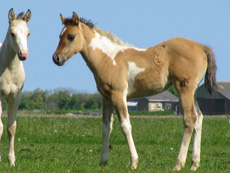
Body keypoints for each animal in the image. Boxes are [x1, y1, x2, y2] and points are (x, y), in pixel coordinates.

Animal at [52, 11, 216, 170]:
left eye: (71, 36)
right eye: (59, 36)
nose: (56, 58)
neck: (107, 58)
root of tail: (201, 47)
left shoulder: (118, 95)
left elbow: (125, 125)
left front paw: (133, 162)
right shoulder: (106, 97)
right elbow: (106, 127)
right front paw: (103, 161)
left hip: (184, 89)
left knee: (190, 119)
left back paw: (178, 164)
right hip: (192, 92)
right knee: (199, 118)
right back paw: (194, 163)